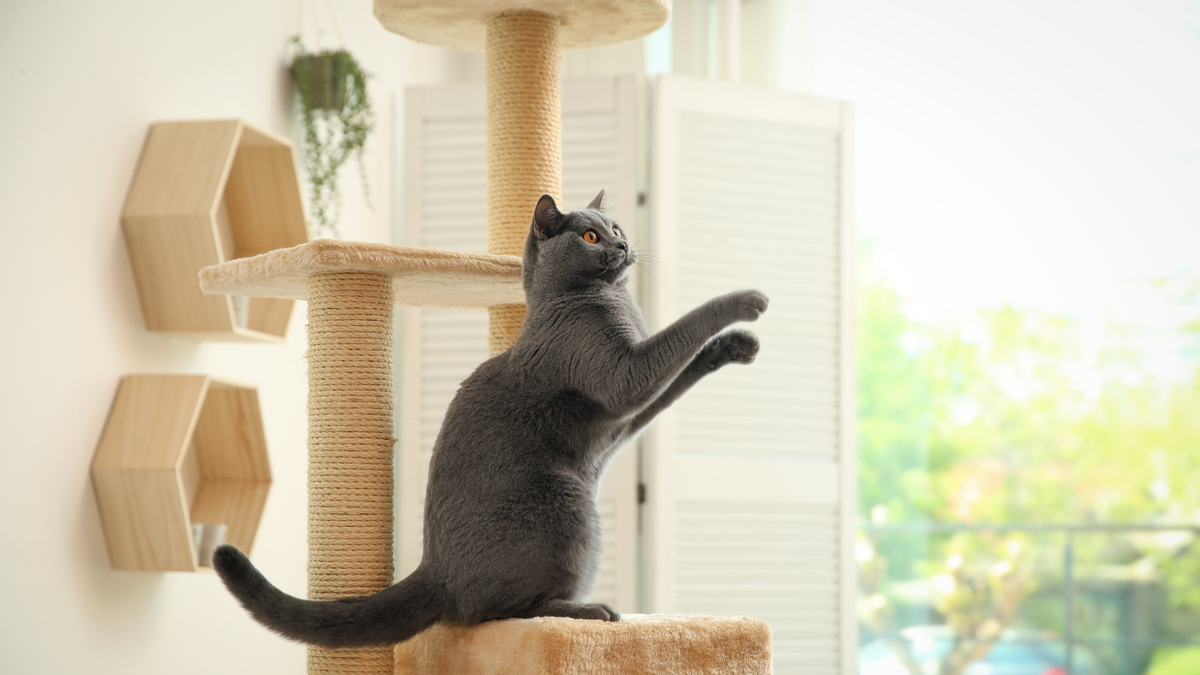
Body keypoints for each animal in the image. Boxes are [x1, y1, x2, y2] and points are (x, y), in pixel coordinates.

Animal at [214, 190, 768, 648]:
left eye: (616, 227)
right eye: (591, 236)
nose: (622, 244)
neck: (605, 299)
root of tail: (433, 569)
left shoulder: (630, 412)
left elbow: (679, 374)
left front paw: (736, 346)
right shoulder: (624, 375)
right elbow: (683, 329)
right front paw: (747, 301)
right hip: (567, 504)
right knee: (495, 613)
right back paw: (589, 611)